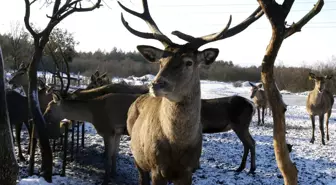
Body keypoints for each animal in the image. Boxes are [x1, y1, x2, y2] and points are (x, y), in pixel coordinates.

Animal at [117, 0, 262, 184]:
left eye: (189, 62)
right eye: (161, 61)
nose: (155, 85)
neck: (178, 145)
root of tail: (251, 104)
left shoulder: (187, 171)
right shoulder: (156, 168)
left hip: (240, 124)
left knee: (250, 143)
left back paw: (248, 168)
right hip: (138, 157)